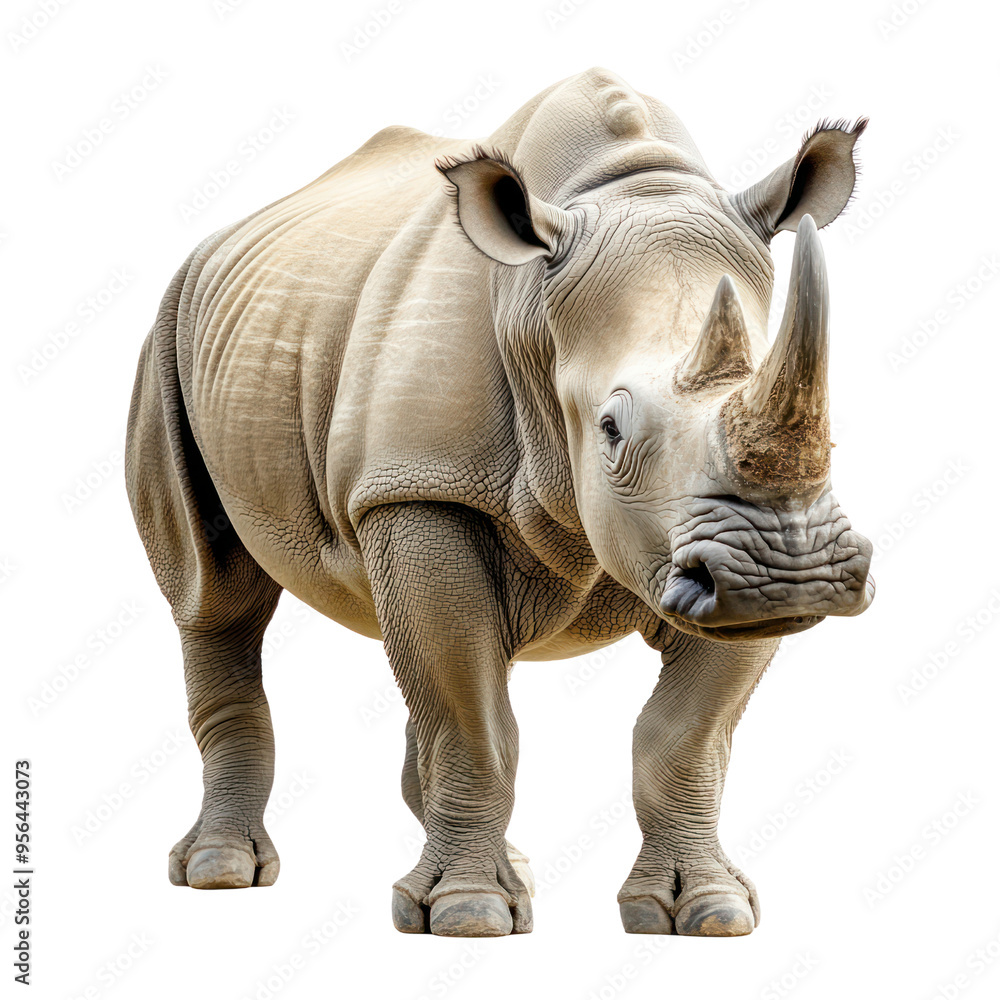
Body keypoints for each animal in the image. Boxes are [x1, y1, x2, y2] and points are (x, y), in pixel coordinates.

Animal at [125, 67, 874, 938]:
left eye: (834, 431)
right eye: (611, 429)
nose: (787, 576)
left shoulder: (721, 552)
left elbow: (685, 735)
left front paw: (708, 911)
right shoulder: (421, 486)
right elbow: (470, 717)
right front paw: (468, 915)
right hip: (168, 332)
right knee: (214, 598)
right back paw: (220, 873)